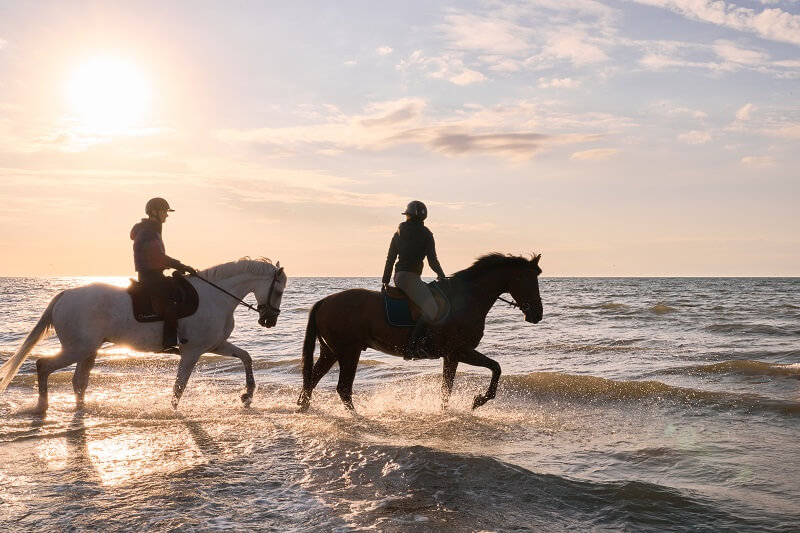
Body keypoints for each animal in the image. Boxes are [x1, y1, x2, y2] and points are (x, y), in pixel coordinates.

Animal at [0, 256, 288, 412]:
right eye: (278, 290)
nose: (269, 321)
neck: (216, 296)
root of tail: (65, 294)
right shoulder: (193, 351)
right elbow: (180, 385)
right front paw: (173, 411)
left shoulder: (215, 345)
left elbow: (246, 357)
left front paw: (248, 395)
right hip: (77, 348)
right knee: (43, 365)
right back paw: (42, 407)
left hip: (88, 350)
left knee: (78, 381)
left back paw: (80, 410)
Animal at [298, 251, 544, 410]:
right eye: (526, 278)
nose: (537, 314)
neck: (467, 298)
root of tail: (324, 302)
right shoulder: (459, 351)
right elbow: (495, 368)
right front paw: (478, 401)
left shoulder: (452, 356)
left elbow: (447, 389)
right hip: (349, 352)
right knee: (343, 389)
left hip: (331, 352)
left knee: (311, 382)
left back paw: (304, 410)